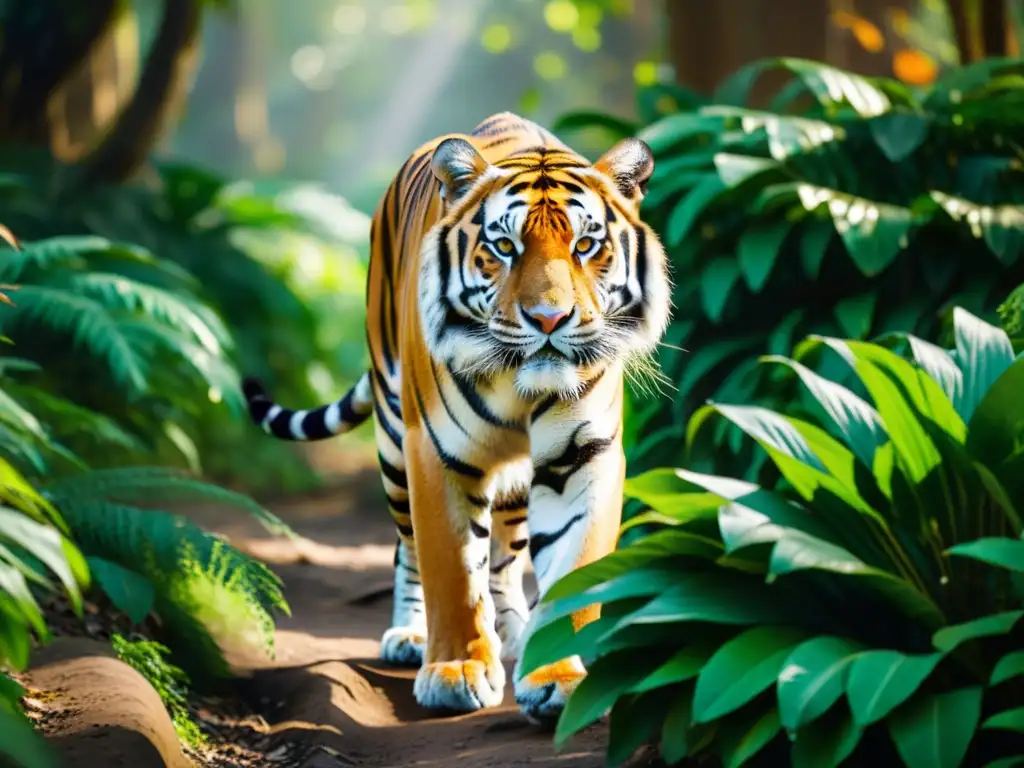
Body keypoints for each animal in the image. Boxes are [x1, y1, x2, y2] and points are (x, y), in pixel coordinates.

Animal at [240, 112, 671, 720]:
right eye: (505, 246)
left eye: (587, 245)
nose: (549, 319)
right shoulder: (435, 450)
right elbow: (449, 568)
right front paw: (455, 672)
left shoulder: (583, 454)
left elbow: (572, 567)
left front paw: (558, 677)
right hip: (393, 440)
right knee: (408, 547)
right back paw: (411, 637)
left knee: (507, 556)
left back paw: (512, 631)